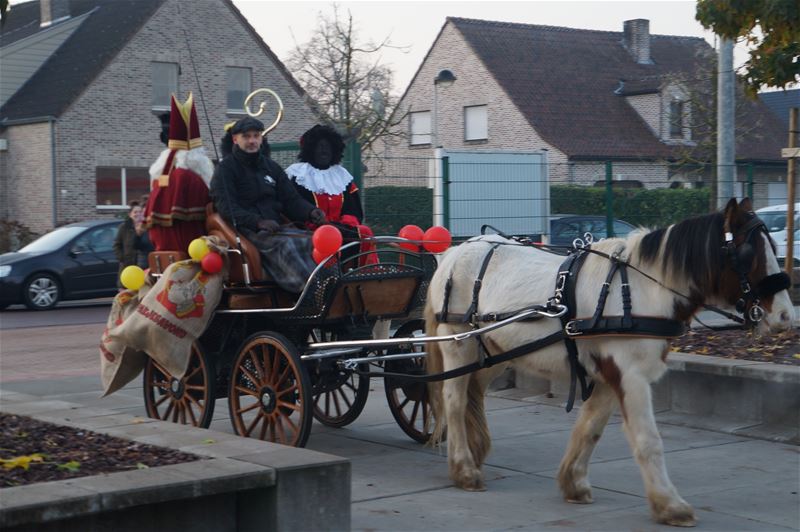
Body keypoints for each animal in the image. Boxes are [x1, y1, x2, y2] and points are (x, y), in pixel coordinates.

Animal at [424, 197, 792, 524]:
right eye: (749, 253)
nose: (786, 316)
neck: (641, 289)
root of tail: (456, 252)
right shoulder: (631, 376)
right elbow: (647, 440)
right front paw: (670, 504)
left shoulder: (607, 375)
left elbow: (591, 429)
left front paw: (573, 482)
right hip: (458, 346)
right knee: (455, 401)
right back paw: (464, 468)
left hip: (493, 353)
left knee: (474, 395)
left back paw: (474, 452)